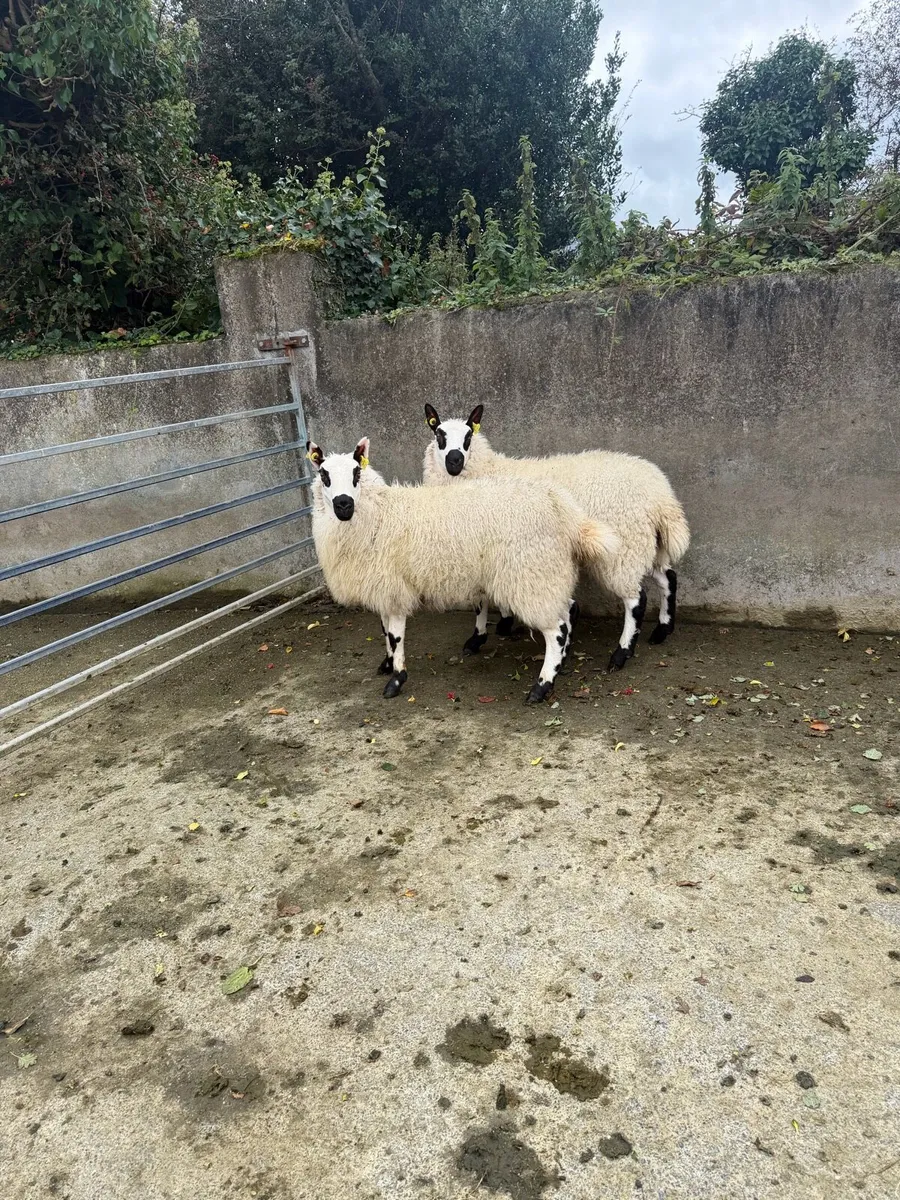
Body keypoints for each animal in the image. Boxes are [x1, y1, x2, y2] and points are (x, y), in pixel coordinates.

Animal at [306, 436, 619, 703]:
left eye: (356, 473)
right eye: (325, 475)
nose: (343, 504)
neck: (379, 514)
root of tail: (564, 510)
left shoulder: (394, 588)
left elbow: (395, 636)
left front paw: (396, 679)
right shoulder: (384, 587)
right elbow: (384, 632)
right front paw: (386, 663)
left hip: (529, 574)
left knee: (556, 630)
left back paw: (541, 687)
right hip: (547, 574)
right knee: (566, 612)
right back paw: (560, 664)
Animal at [422, 404, 691, 671]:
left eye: (468, 437)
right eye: (439, 435)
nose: (454, 462)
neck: (486, 470)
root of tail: (661, 494)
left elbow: (481, 601)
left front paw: (478, 638)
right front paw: (505, 623)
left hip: (623, 548)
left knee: (636, 599)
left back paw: (621, 654)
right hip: (646, 544)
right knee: (668, 578)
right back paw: (662, 630)